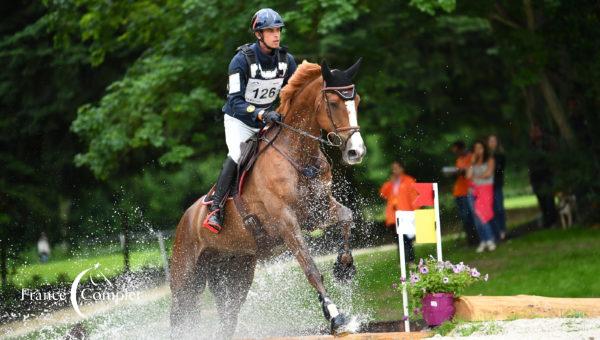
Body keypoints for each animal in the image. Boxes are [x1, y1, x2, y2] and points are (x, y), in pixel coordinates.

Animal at [169, 59, 366, 338]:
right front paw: (336, 317)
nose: (356, 152)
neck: (298, 154)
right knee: (179, 315)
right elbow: (311, 269)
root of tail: (185, 219)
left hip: (235, 270)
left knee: (228, 316)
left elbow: (347, 217)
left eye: (356, 100)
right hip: (185, 277)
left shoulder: (319, 211)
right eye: (334, 103)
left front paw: (344, 268)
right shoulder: (286, 222)